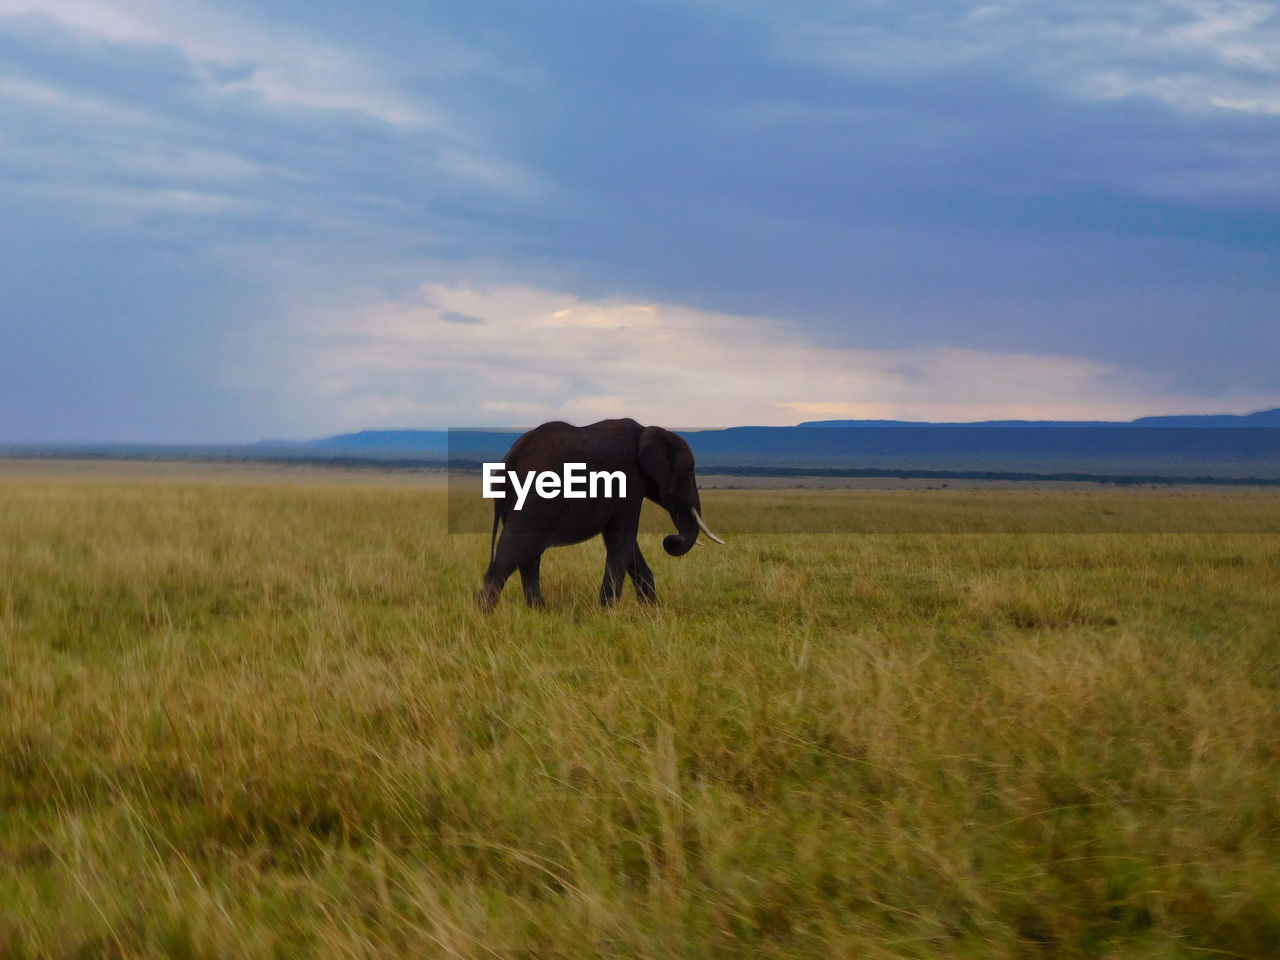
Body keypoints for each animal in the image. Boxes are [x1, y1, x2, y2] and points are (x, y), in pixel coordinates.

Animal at [478, 419, 727, 611]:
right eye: (689, 470)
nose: (671, 539)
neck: (646, 431)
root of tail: (511, 460)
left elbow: (627, 545)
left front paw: (652, 612)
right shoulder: (630, 480)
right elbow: (622, 539)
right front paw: (608, 614)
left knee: (529, 555)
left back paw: (539, 613)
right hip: (538, 497)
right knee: (513, 552)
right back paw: (484, 616)